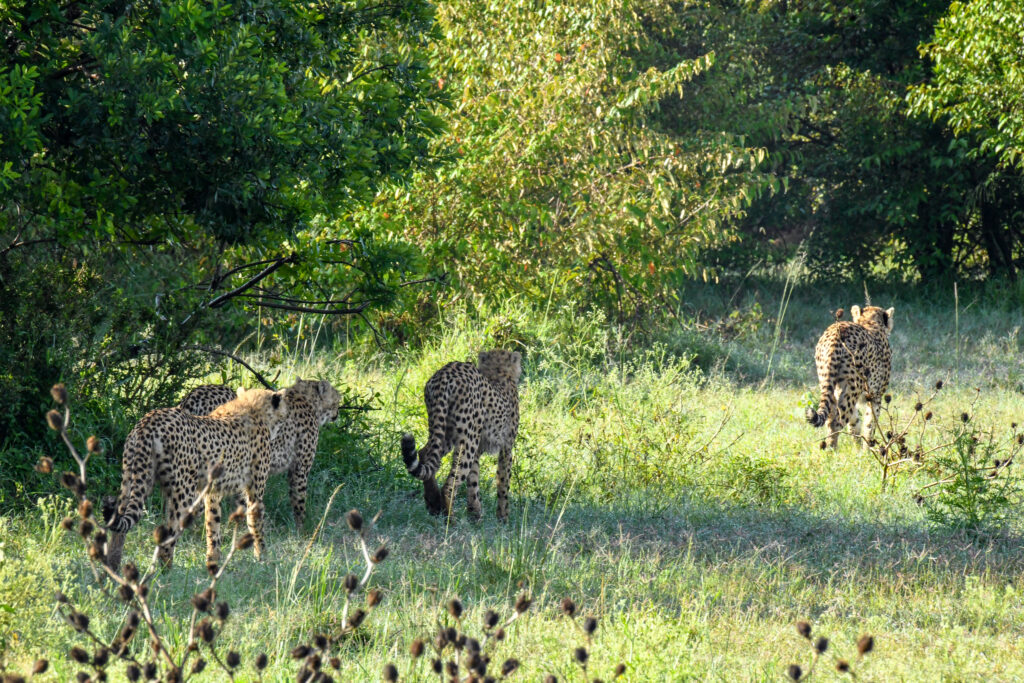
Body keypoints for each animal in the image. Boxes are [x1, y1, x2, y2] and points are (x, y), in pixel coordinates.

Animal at [103, 387, 286, 569]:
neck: (253, 408)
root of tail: (149, 419)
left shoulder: (212, 492)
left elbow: (212, 524)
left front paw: (213, 561)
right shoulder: (254, 489)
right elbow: (255, 522)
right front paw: (262, 557)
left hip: (132, 478)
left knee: (120, 527)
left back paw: (112, 567)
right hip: (183, 493)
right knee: (169, 535)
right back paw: (166, 571)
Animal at [401, 350, 520, 520]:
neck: (498, 373)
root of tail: (444, 374)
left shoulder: (477, 447)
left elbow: (473, 481)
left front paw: (475, 514)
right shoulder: (506, 448)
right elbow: (503, 482)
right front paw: (503, 517)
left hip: (445, 430)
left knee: (425, 453)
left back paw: (433, 503)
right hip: (465, 438)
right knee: (450, 483)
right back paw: (450, 519)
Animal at [806, 305, 897, 448]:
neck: (871, 323)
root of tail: (836, 332)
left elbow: (855, 424)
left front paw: (858, 448)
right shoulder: (875, 396)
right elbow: (870, 423)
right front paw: (867, 449)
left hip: (829, 383)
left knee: (830, 418)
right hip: (853, 386)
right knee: (836, 422)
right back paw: (832, 451)